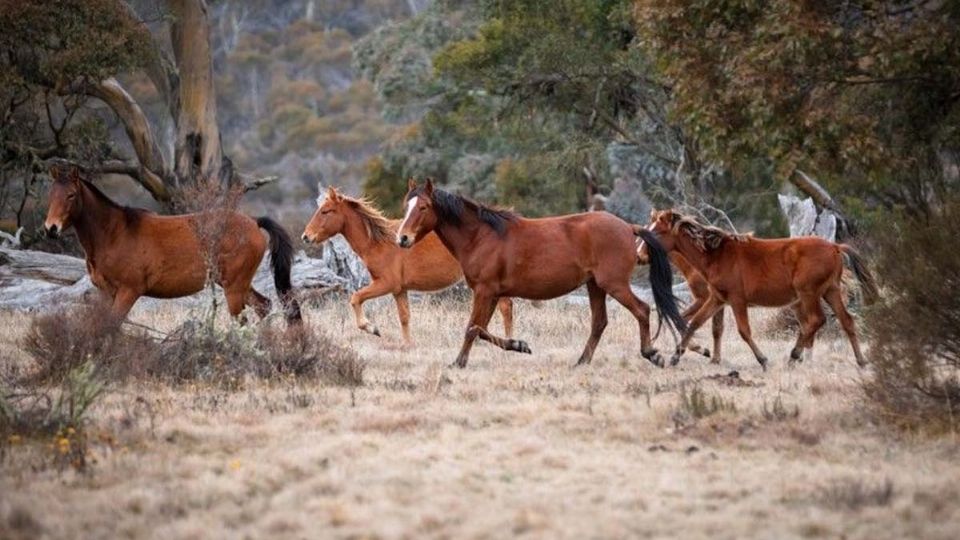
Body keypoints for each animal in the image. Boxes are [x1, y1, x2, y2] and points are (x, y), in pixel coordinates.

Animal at [43, 167, 300, 322]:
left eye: (71, 195)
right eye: (51, 194)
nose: (51, 229)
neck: (115, 232)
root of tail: (254, 222)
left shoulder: (128, 292)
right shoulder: (106, 293)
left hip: (234, 288)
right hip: (236, 285)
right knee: (263, 306)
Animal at [302, 187, 512, 346]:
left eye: (326, 211)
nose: (306, 236)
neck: (379, 242)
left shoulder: (386, 284)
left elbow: (355, 298)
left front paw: (372, 328)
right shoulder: (399, 290)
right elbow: (404, 317)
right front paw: (408, 344)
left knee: (505, 307)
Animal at [394, 179, 688, 370]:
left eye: (423, 207)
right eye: (405, 207)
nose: (402, 238)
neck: (481, 236)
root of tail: (628, 227)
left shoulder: (484, 291)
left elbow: (472, 328)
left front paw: (458, 363)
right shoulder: (491, 294)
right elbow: (482, 330)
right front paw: (518, 345)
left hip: (613, 284)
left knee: (642, 310)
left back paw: (652, 354)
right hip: (595, 286)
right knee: (599, 322)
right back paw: (581, 362)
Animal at [636, 209, 876, 370]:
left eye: (656, 232)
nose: (639, 256)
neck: (716, 254)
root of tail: (835, 247)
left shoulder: (737, 300)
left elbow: (743, 331)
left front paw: (763, 360)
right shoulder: (717, 299)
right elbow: (695, 323)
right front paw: (677, 356)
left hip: (808, 294)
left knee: (815, 321)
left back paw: (794, 355)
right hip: (830, 291)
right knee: (846, 321)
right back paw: (861, 361)